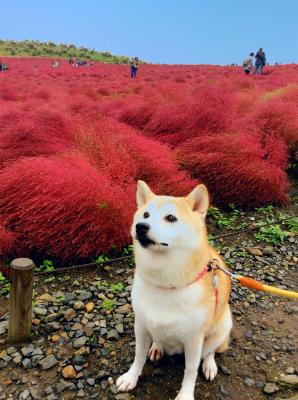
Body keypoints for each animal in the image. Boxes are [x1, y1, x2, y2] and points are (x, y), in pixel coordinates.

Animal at [116, 181, 233, 400]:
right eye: (145, 215)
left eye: (171, 218)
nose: (141, 226)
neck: (166, 285)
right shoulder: (141, 325)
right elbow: (138, 356)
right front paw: (131, 377)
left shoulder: (194, 339)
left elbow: (190, 370)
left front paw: (185, 394)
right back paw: (157, 347)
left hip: (222, 325)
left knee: (210, 351)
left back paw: (209, 364)